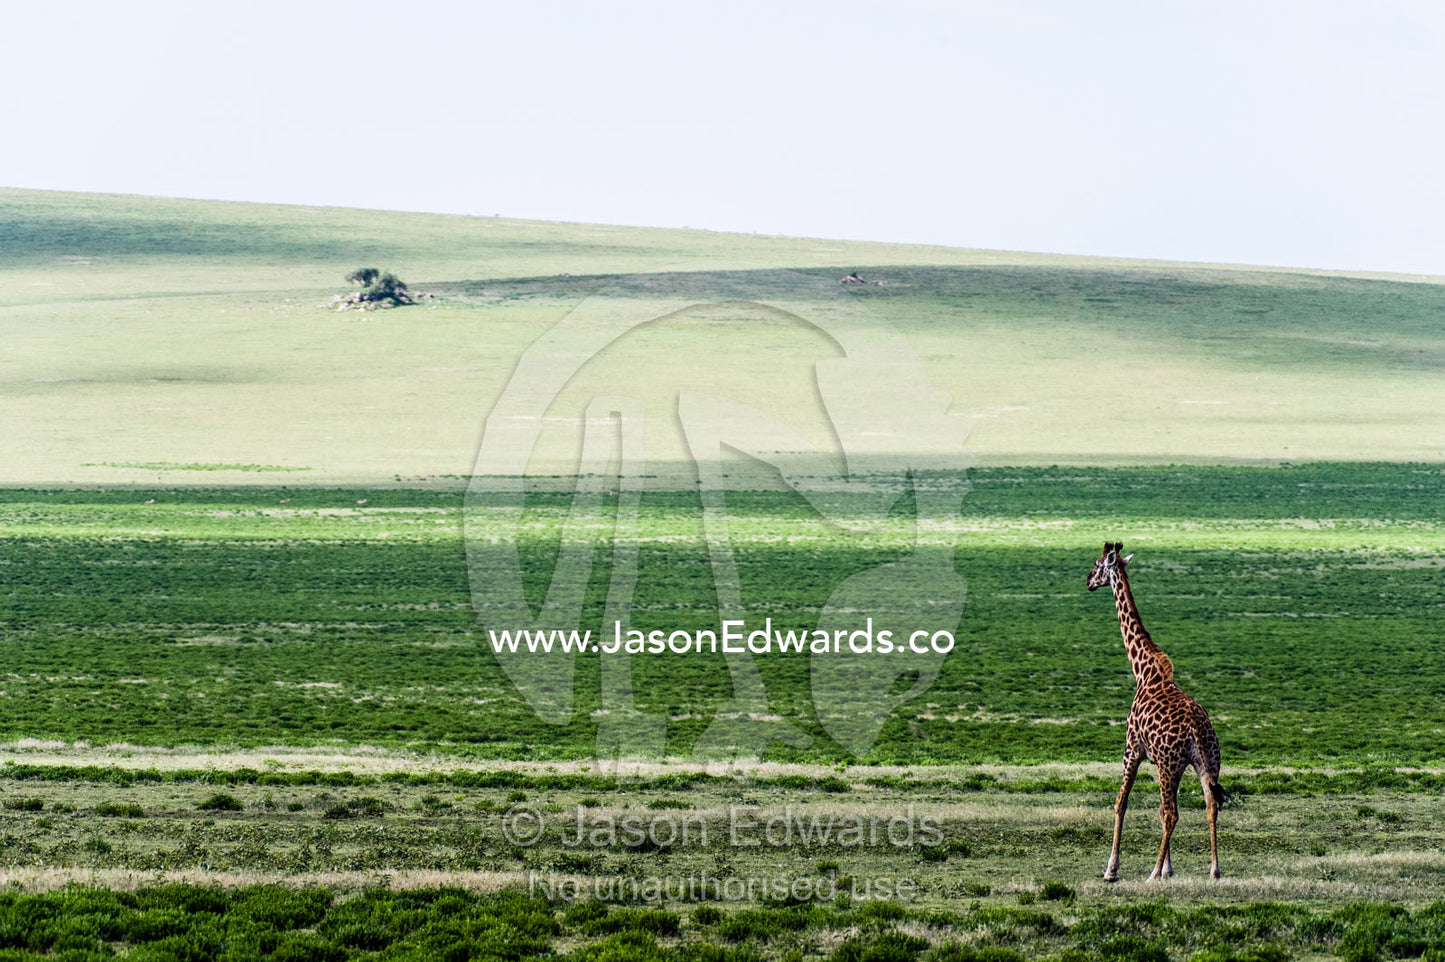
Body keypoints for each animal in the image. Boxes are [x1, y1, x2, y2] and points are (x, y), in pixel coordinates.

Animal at [1087, 541, 1223, 881]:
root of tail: (1197, 728)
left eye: (1098, 564)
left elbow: (1121, 803)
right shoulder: (1159, 760)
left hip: (1170, 764)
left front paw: (1112, 869)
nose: (1088, 581)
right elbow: (1157, 810)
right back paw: (1214, 870)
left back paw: (1149, 874)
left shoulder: (1132, 748)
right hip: (1206, 762)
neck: (1144, 672)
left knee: (1173, 813)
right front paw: (1167, 869)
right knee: (1210, 805)